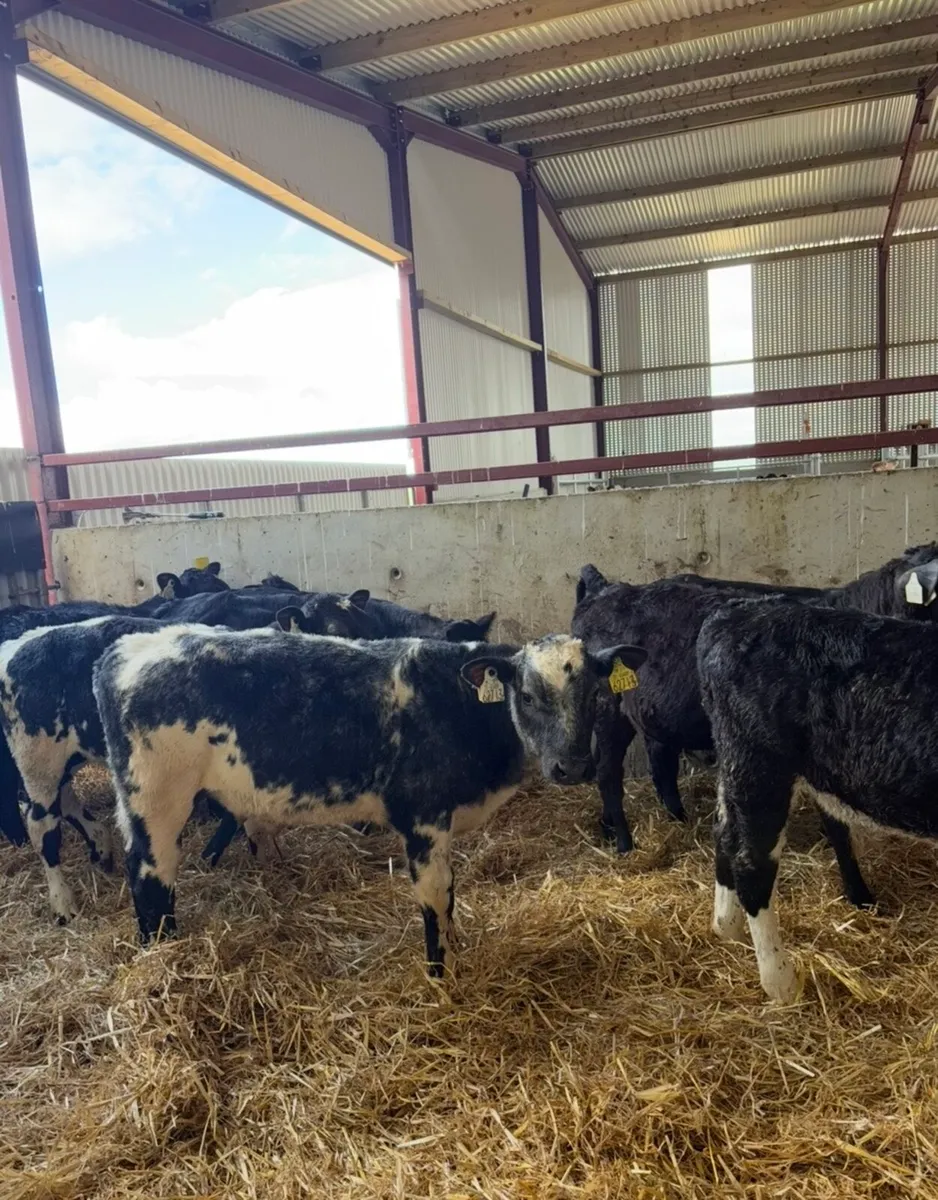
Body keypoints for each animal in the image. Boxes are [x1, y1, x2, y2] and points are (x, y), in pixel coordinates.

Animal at [92, 627, 645, 974]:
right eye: (527, 696)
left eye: (595, 695)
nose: (573, 767)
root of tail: (125, 649)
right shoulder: (423, 818)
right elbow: (435, 899)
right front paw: (442, 977)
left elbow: (451, 898)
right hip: (156, 799)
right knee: (151, 875)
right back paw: (164, 956)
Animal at [697, 598, 938, 1002]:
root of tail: (734, 614)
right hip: (761, 763)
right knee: (751, 861)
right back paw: (781, 983)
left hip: (733, 762)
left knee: (724, 832)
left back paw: (727, 929)